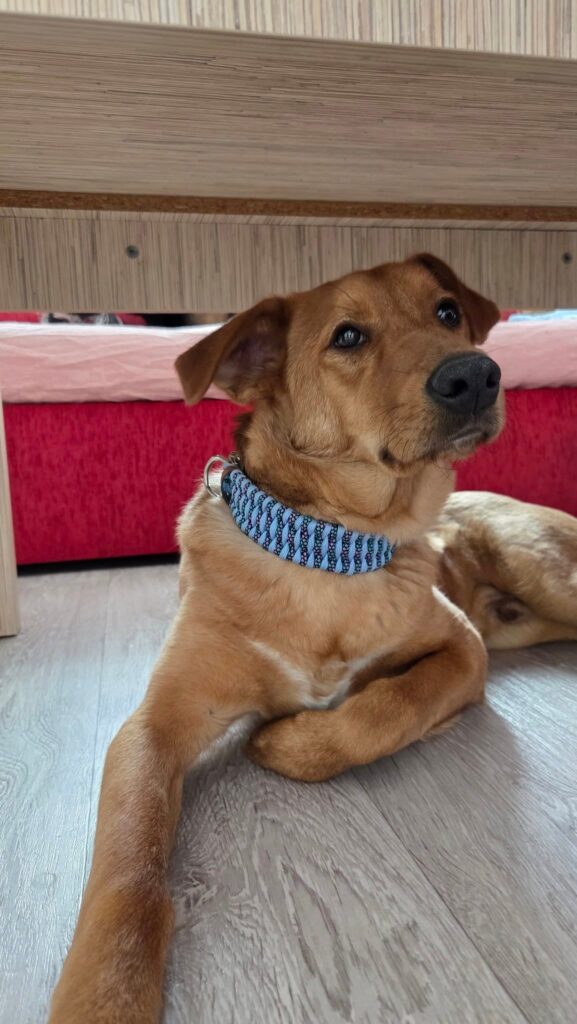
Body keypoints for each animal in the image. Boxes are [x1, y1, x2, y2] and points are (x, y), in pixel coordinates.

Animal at [49, 254, 577, 1022]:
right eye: (347, 336)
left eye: (447, 312)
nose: (476, 374)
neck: (331, 551)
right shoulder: (154, 724)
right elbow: (129, 855)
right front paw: (105, 991)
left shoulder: (461, 649)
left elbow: (386, 707)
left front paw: (288, 743)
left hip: (535, 566)